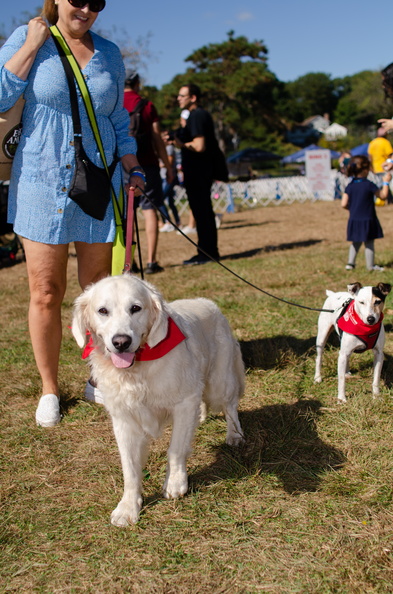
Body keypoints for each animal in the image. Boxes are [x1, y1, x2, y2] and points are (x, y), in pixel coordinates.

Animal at [70, 272, 242, 524]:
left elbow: (176, 449)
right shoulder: (124, 419)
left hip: (220, 383)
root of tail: (208, 303)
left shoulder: (183, 402)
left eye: (135, 308)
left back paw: (235, 435)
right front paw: (128, 507)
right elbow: (130, 468)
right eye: (103, 311)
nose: (121, 342)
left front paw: (175, 483)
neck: (137, 370)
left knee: (231, 406)